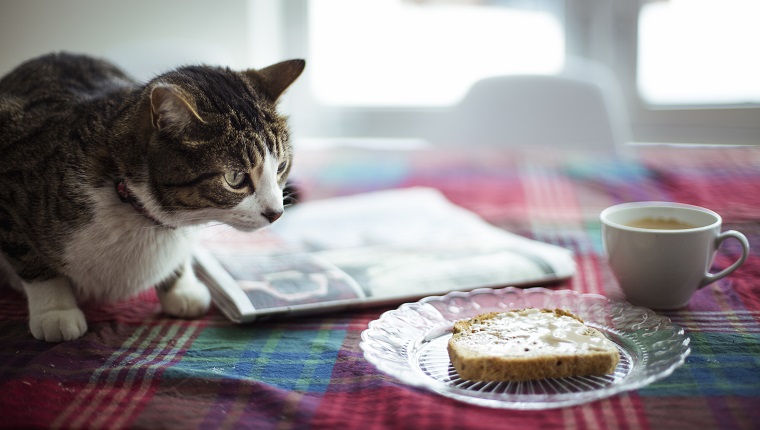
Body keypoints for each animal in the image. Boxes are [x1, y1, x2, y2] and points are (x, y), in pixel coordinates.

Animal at [0, 53, 302, 342]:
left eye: (281, 166)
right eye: (235, 178)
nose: (276, 213)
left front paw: (181, 288)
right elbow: (31, 259)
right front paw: (55, 311)